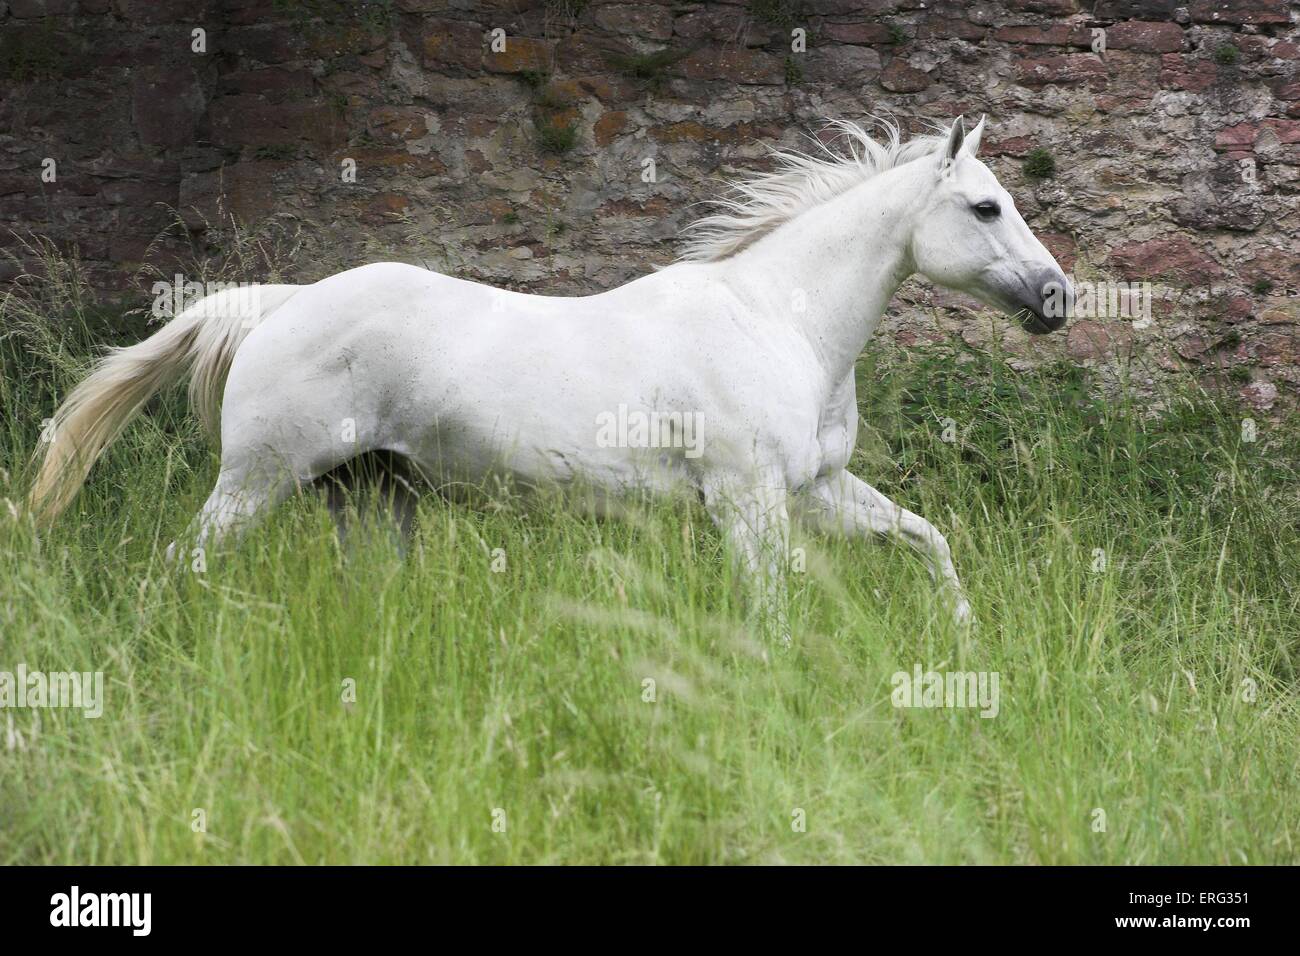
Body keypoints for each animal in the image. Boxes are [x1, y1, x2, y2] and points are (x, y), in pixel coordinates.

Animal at [28, 116, 1071, 640]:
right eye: (987, 207)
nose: (1058, 298)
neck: (778, 319)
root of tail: (277, 305)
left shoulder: (815, 490)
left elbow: (929, 542)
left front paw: (968, 643)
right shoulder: (750, 502)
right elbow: (773, 611)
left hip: (370, 494)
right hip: (259, 481)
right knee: (181, 566)